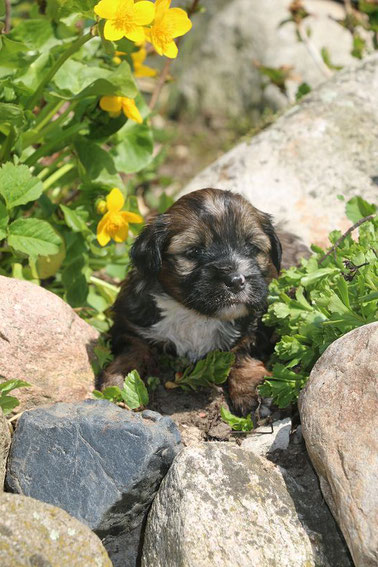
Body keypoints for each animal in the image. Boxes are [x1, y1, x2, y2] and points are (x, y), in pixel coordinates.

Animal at [99, 189, 282, 414]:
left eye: (251, 247)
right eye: (194, 251)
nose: (236, 281)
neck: (194, 314)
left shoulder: (255, 323)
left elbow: (240, 352)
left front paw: (253, 388)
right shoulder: (130, 321)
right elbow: (133, 348)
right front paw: (118, 379)